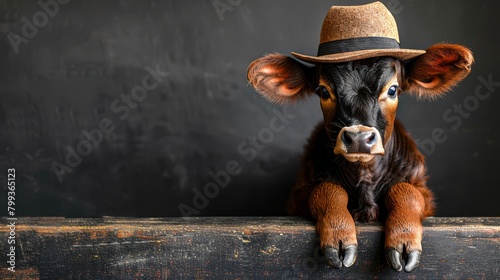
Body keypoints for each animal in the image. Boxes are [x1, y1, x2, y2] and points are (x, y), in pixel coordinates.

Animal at [246, 1, 472, 274]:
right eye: (323, 91)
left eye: (393, 90)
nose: (359, 138)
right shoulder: (298, 195)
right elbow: (327, 189)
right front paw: (339, 235)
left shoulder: (423, 190)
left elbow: (406, 191)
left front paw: (404, 238)